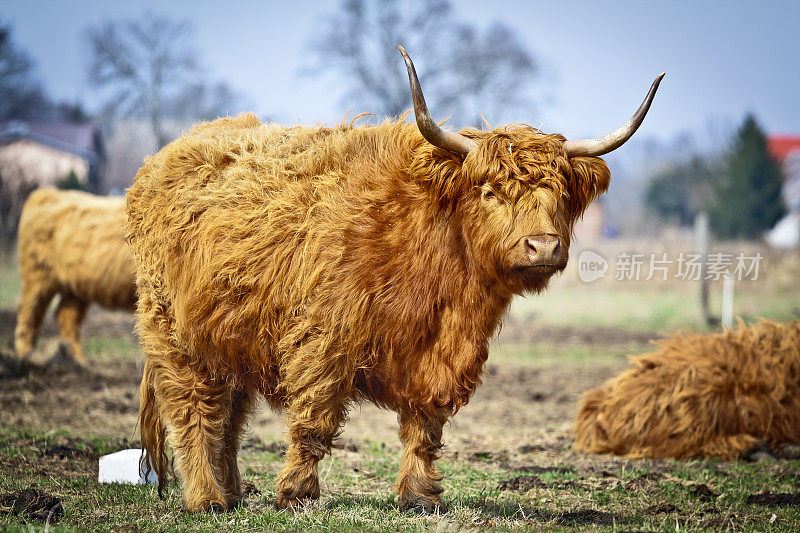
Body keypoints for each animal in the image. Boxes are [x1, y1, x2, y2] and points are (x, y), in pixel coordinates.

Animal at [14, 187, 136, 366]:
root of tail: (49, 193)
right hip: (37, 274)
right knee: (29, 311)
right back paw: (25, 356)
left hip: (76, 287)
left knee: (66, 316)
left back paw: (77, 361)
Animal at [126, 46, 664, 512]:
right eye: (490, 191)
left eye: (560, 194)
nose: (544, 246)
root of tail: (166, 154)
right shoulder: (323, 339)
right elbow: (313, 421)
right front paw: (298, 494)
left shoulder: (443, 354)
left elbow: (426, 428)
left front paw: (419, 496)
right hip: (173, 331)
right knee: (194, 413)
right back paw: (207, 499)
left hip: (229, 336)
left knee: (230, 418)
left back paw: (233, 492)